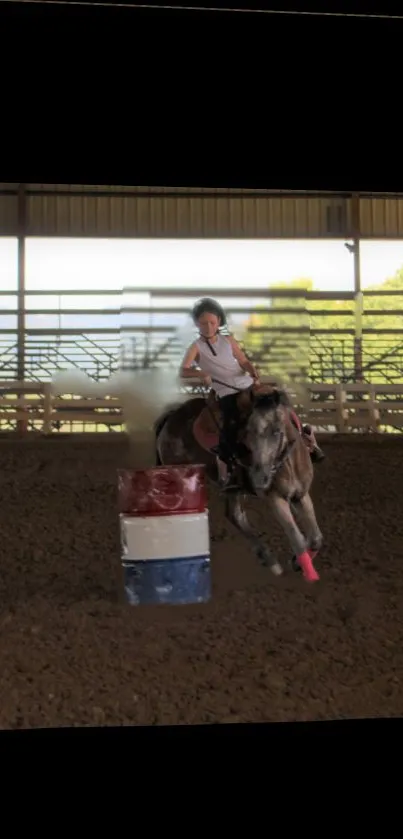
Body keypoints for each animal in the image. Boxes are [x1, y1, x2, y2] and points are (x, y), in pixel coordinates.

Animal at [155, 382, 326, 584]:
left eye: (276, 432)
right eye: (247, 432)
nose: (260, 477)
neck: (288, 462)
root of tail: (170, 419)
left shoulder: (301, 495)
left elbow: (316, 537)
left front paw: (297, 562)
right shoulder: (275, 499)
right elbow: (296, 537)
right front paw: (304, 568)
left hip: (233, 490)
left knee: (235, 515)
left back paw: (268, 559)